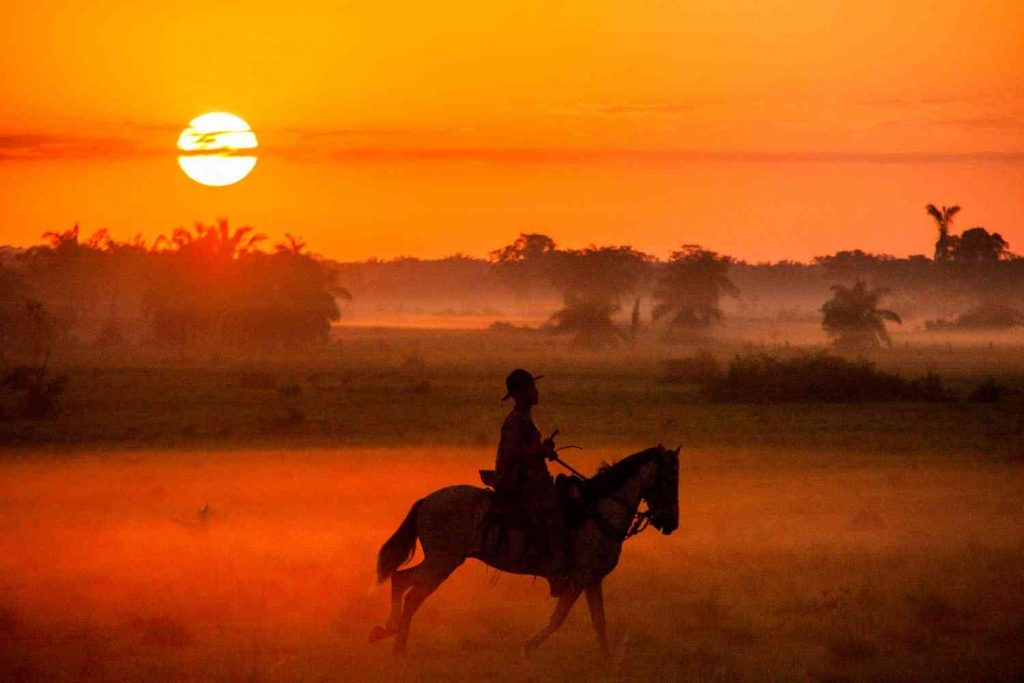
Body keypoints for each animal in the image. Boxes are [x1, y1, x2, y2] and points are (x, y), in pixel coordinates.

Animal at [370, 446, 679, 655]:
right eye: (668, 479)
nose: (671, 523)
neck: (600, 511)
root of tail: (427, 500)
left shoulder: (593, 579)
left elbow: (599, 622)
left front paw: (607, 659)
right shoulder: (579, 578)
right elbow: (558, 618)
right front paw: (528, 648)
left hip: (440, 561)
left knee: (404, 584)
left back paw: (391, 636)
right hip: (442, 562)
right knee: (409, 590)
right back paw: (394, 639)